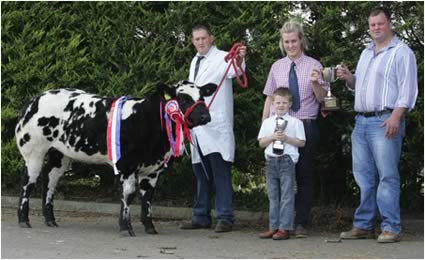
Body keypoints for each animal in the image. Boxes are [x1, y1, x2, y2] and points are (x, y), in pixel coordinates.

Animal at [14, 81, 217, 236]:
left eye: (202, 97)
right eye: (183, 98)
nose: (205, 116)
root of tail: (36, 99)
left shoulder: (154, 169)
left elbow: (148, 197)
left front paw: (150, 227)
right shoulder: (127, 164)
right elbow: (128, 194)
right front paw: (126, 228)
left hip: (60, 154)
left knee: (50, 180)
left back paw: (50, 220)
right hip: (33, 150)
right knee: (28, 182)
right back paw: (24, 220)